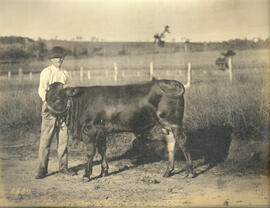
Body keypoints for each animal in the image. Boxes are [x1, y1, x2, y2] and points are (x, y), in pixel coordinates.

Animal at [44, 77, 194, 181]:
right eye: (47, 96)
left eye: (58, 98)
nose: (46, 111)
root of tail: (170, 82)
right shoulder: (102, 131)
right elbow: (102, 150)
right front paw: (104, 171)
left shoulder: (90, 130)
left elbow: (90, 153)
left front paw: (87, 175)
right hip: (165, 125)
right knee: (171, 144)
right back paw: (168, 171)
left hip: (174, 122)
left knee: (182, 141)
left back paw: (190, 172)